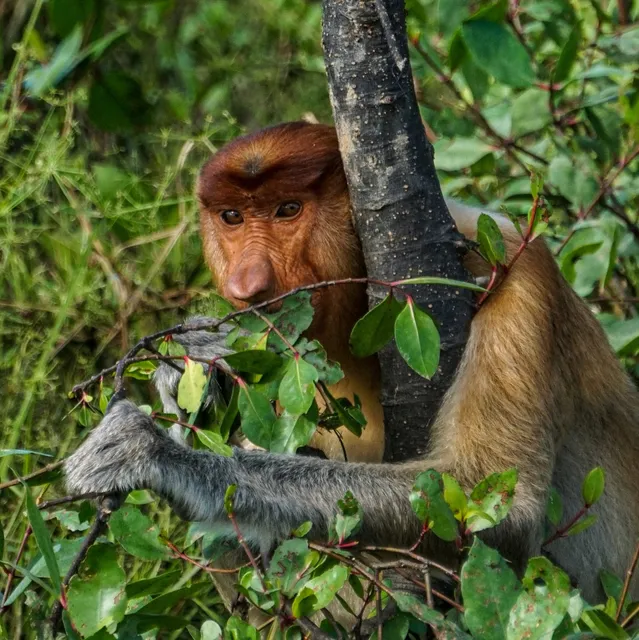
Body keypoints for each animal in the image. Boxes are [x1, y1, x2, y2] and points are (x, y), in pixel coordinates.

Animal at [65, 122, 639, 607]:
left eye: (288, 210)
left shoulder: (514, 271)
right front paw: (199, 361)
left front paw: (155, 454)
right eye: (232, 217)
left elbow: (491, 501)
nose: (246, 285)